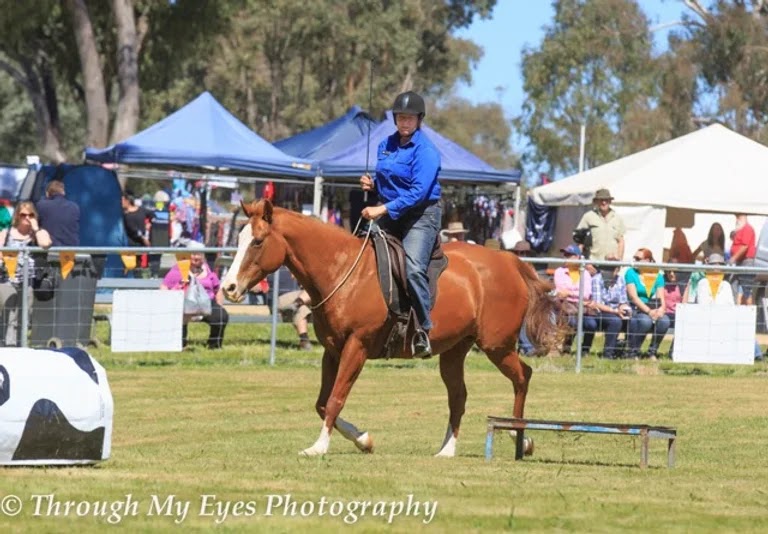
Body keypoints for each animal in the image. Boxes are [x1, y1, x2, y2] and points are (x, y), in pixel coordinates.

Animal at [222, 199, 560, 458]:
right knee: (459, 396)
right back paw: (447, 450)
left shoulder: (356, 347)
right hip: (455, 352)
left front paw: (319, 447)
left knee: (522, 376)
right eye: (239, 240)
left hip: (497, 346)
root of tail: (508, 262)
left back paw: (521, 438)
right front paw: (363, 440)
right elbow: (321, 403)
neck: (342, 271)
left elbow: (334, 400)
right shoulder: (332, 352)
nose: (228, 287)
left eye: (257, 241)